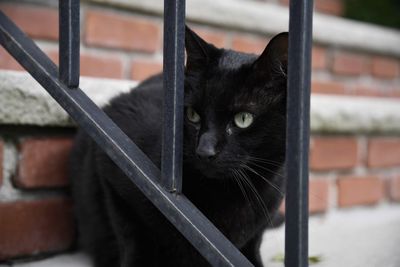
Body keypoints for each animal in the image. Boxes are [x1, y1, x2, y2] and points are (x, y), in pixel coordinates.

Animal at [69, 26, 288, 266]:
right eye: (193, 114)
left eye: (243, 119)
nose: (204, 151)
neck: (228, 193)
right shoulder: (114, 159)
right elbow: (133, 235)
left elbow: (252, 243)